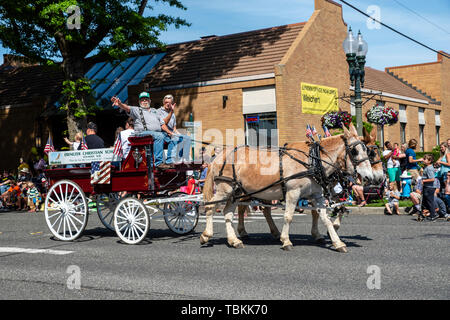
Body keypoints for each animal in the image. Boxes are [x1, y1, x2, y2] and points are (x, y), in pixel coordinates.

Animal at [200, 124, 372, 251]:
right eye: (354, 151)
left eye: (367, 150)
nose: (370, 177)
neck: (312, 161)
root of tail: (219, 156)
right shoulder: (293, 193)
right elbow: (288, 216)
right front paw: (286, 241)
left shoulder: (317, 195)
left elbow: (324, 217)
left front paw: (337, 242)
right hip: (225, 189)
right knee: (210, 207)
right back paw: (206, 235)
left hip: (236, 192)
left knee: (228, 213)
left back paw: (234, 240)